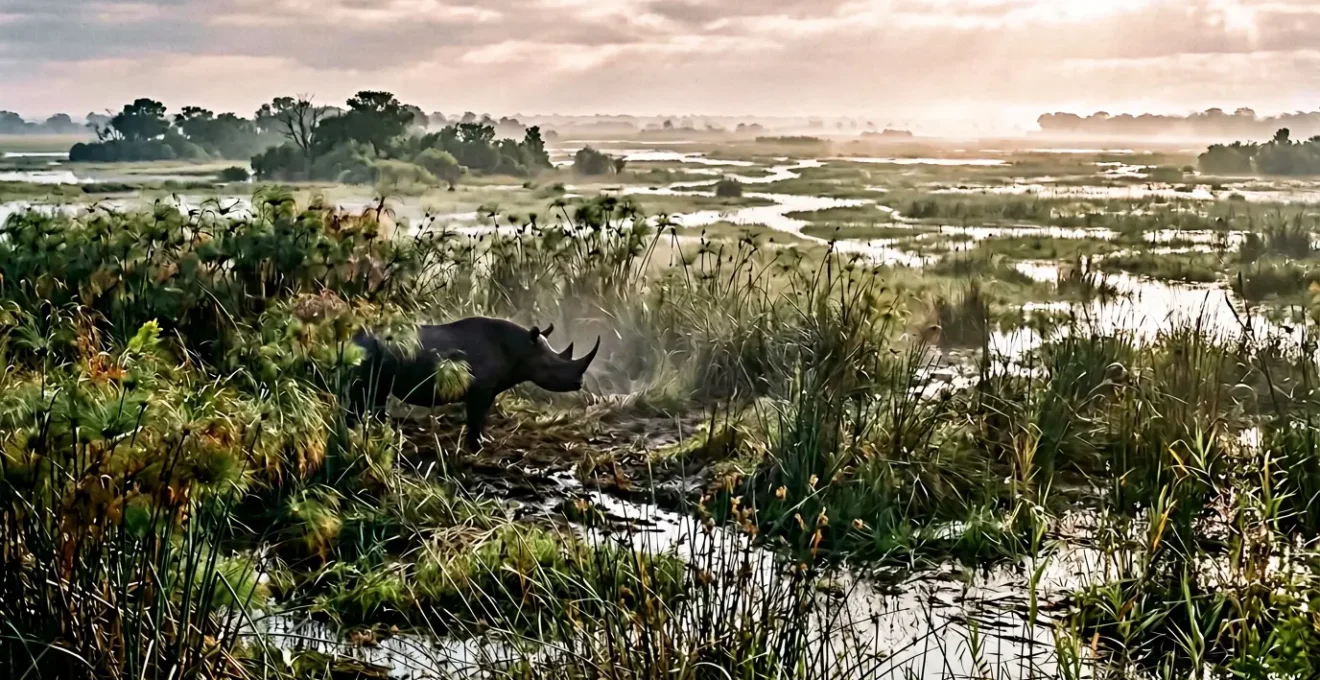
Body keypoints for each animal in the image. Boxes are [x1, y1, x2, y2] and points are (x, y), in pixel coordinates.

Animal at [349, 317, 599, 450]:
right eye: (553, 368)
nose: (578, 383)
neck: (523, 349)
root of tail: (352, 338)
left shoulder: (488, 388)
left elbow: (481, 416)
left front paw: (483, 440)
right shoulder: (480, 388)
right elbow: (476, 416)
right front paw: (477, 446)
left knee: (375, 396)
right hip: (371, 355)